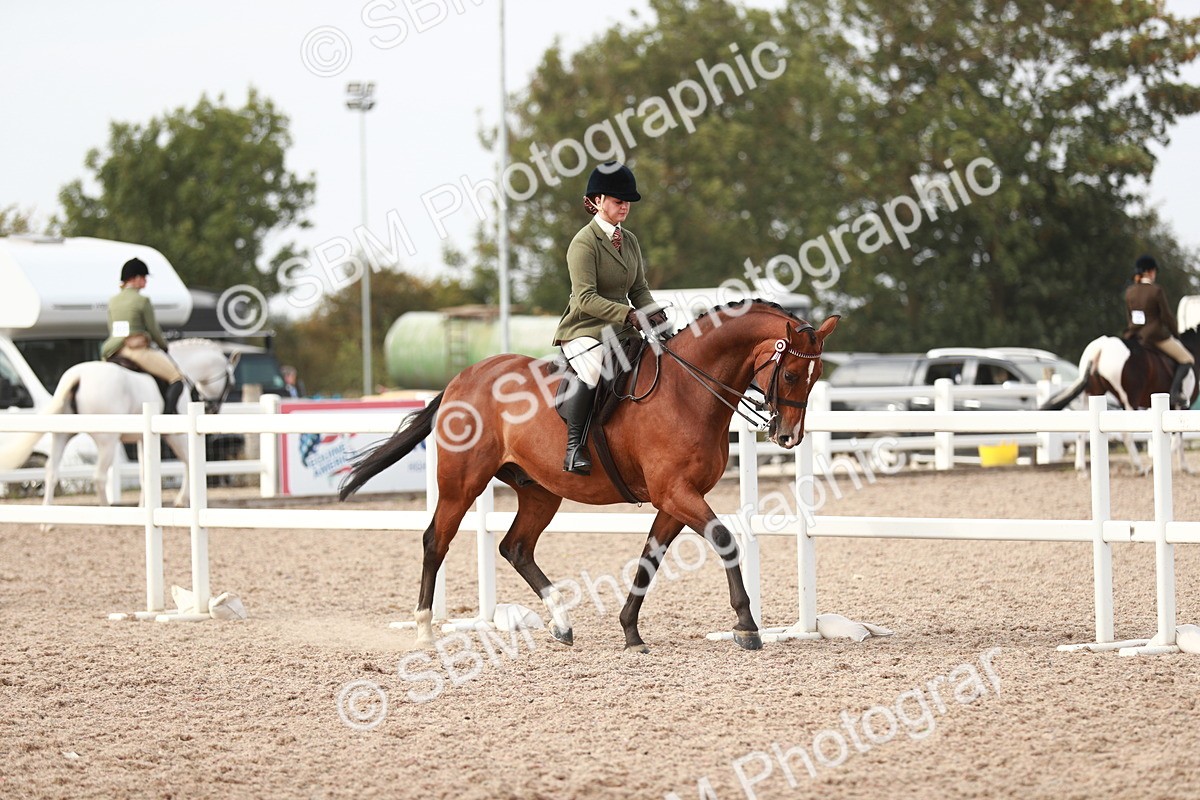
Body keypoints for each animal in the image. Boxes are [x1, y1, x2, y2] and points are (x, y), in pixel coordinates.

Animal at [0, 338, 236, 509]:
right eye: (230, 383)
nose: (213, 409)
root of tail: (78, 376)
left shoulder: (143, 438)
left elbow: (145, 473)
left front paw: (144, 506)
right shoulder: (174, 435)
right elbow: (188, 462)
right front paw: (180, 500)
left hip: (63, 435)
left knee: (51, 471)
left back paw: (48, 521)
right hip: (107, 440)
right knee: (98, 476)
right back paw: (107, 513)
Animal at [339, 300, 840, 652]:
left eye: (815, 377)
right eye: (791, 374)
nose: (789, 436)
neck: (688, 391)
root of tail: (464, 378)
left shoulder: (675, 498)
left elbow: (650, 557)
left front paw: (630, 631)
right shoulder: (676, 492)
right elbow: (724, 540)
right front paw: (746, 626)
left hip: (540, 492)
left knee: (515, 547)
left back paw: (561, 624)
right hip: (462, 484)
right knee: (436, 542)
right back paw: (425, 631)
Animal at [1041, 328, 1199, 473]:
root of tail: (1101, 346)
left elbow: (1179, 438)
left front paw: (1184, 467)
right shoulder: (1181, 406)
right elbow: (1177, 438)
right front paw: (1156, 466)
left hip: (1091, 394)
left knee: (1082, 431)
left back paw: (1081, 469)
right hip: (1129, 400)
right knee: (1126, 433)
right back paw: (1138, 467)